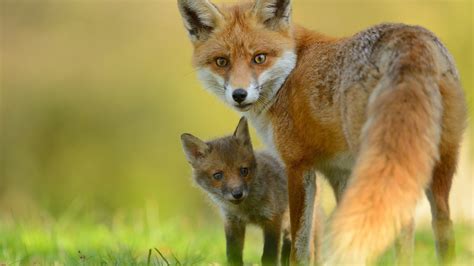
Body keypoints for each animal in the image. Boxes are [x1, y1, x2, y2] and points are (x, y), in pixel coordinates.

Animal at [177, 0, 466, 264]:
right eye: (221, 61)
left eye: (259, 58)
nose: (239, 95)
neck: (290, 73)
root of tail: (410, 39)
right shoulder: (340, 173)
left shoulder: (298, 165)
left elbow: (300, 243)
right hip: (438, 161)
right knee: (443, 225)